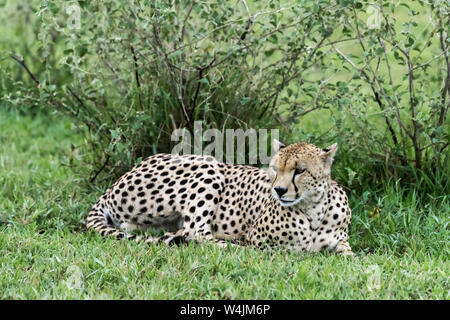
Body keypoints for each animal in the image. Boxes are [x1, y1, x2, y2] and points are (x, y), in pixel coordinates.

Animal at [87, 140, 356, 255]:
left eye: (299, 170)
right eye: (275, 169)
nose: (278, 190)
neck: (313, 210)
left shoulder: (340, 241)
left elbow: (347, 254)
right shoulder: (259, 238)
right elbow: (279, 249)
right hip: (207, 166)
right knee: (196, 233)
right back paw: (234, 246)